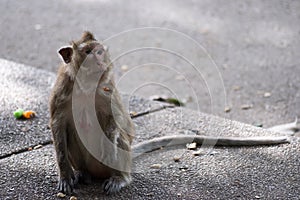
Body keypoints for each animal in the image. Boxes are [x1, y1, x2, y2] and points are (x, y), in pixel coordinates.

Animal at [48, 31, 288, 195]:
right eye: (89, 53)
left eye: (100, 52)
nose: (101, 60)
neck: (85, 87)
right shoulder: (62, 92)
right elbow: (58, 127)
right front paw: (66, 176)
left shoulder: (107, 89)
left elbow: (122, 125)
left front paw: (111, 138)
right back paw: (82, 174)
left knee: (121, 143)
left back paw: (120, 178)